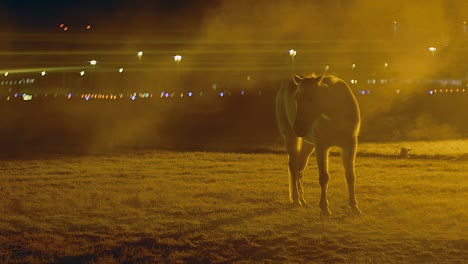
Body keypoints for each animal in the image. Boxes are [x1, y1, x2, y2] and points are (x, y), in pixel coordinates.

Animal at [276, 73, 364, 217]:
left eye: (311, 98)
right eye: (296, 98)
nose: (298, 129)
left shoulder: (350, 145)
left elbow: (350, 176)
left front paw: (354, 207)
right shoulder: (321, 147)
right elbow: (324, 177)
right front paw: (324, 208)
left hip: (308, 145)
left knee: (300, 168)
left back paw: (302, 199)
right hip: (290, 137)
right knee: (293, 166)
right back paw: (296, 200)